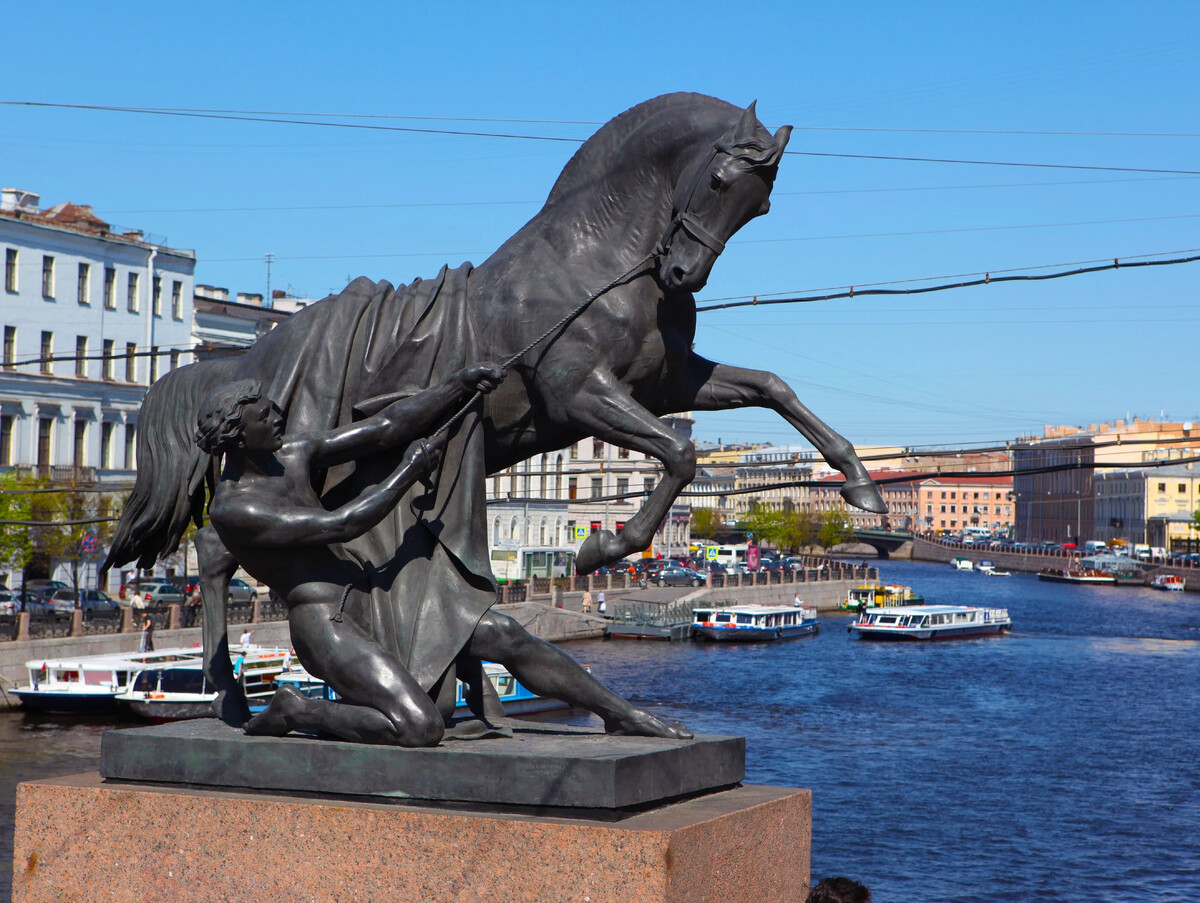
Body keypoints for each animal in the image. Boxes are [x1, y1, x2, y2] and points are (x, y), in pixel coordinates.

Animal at [105, 91, 883, 725]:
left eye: (761, 205)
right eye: (720, 179)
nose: (682, 273)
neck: (593, 262)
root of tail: (245, 358)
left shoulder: (670, 384)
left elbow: (771, 387)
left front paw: (860, 484)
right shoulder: (578, 388)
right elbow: (681, 452)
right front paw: (604, 548)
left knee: (218, 550)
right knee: (219, 551)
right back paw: (235, 700)